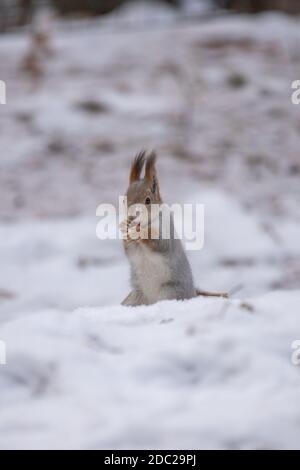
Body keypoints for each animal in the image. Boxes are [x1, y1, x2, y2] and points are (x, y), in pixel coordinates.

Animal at [119, 149, 227, 306]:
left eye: (148, 200)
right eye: (124, 198)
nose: (132, 217)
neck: (148, 222)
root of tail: (192, 294)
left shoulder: (166, 231)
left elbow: (161, 244)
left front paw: (141, 233)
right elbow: (130, 251)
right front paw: (124, 228)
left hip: (170, 292)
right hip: (135, 297)